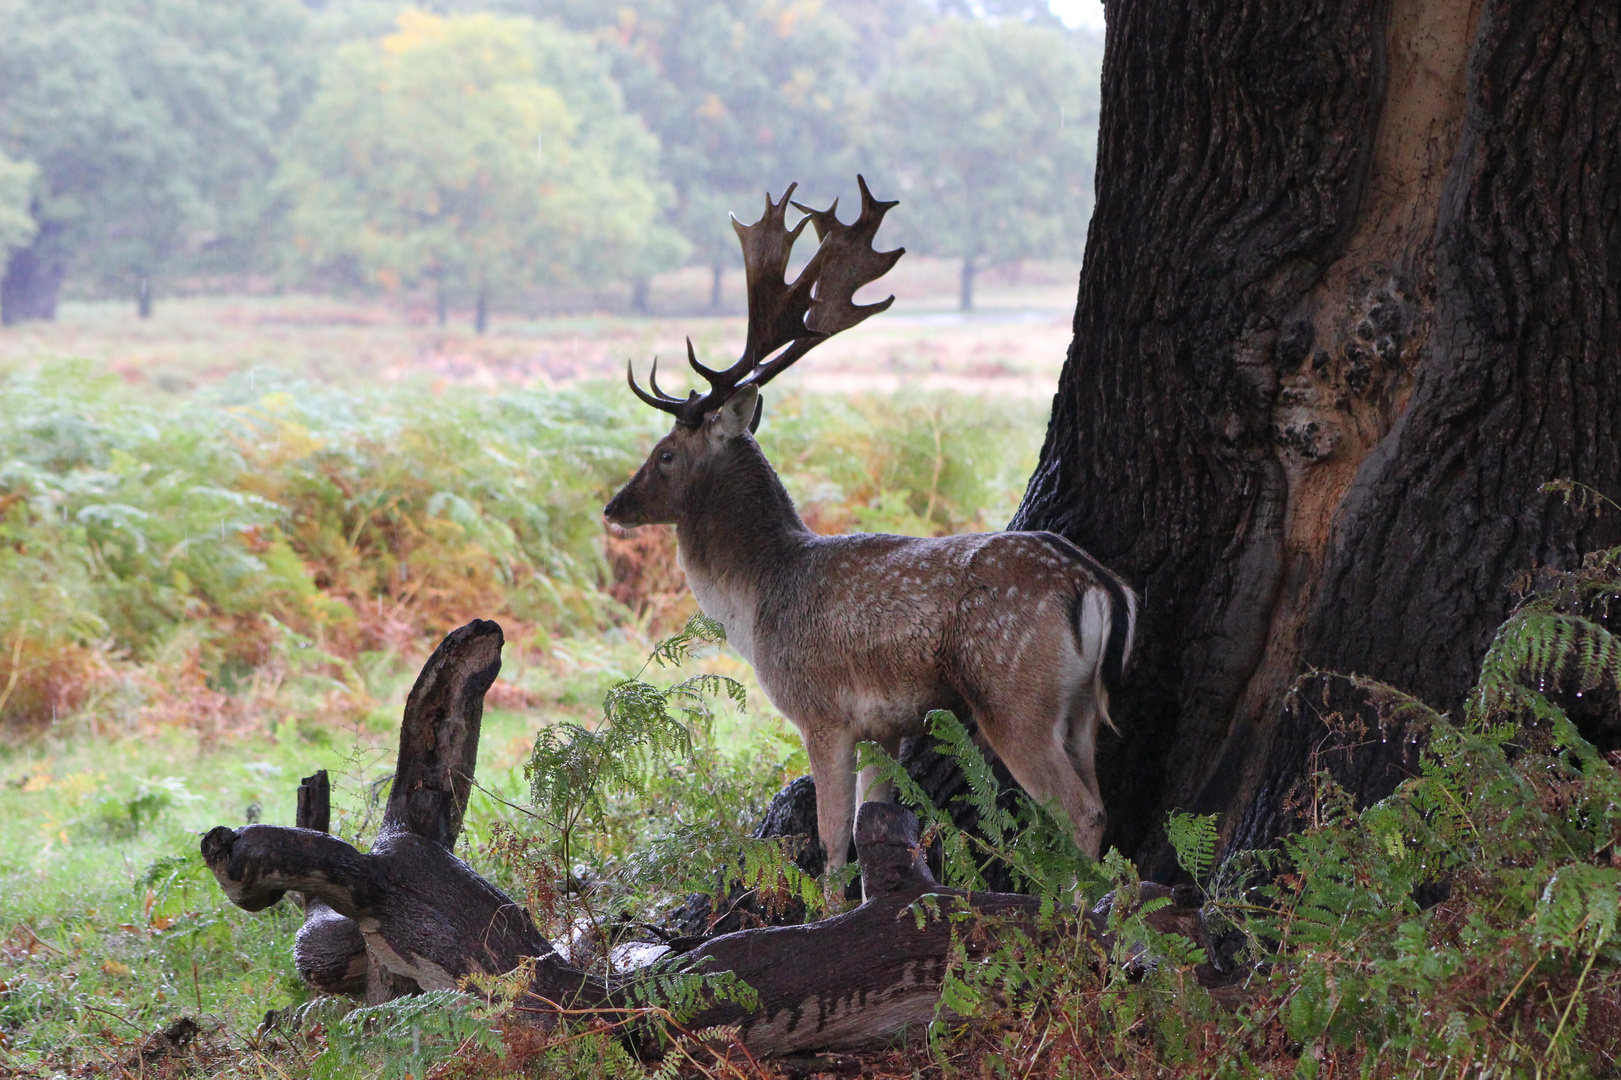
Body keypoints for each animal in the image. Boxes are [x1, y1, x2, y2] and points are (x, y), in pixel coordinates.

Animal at [603, 174, 1134, 869]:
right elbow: (873, 822)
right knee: (1101, 799)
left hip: (1015, 694)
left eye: (665, 454)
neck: (757, 595)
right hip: (1081, 707)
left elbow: (834, 837)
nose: (613, 507)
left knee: (1081, 810)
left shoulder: (821, 711)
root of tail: (1097, 582)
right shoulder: (885, 727)